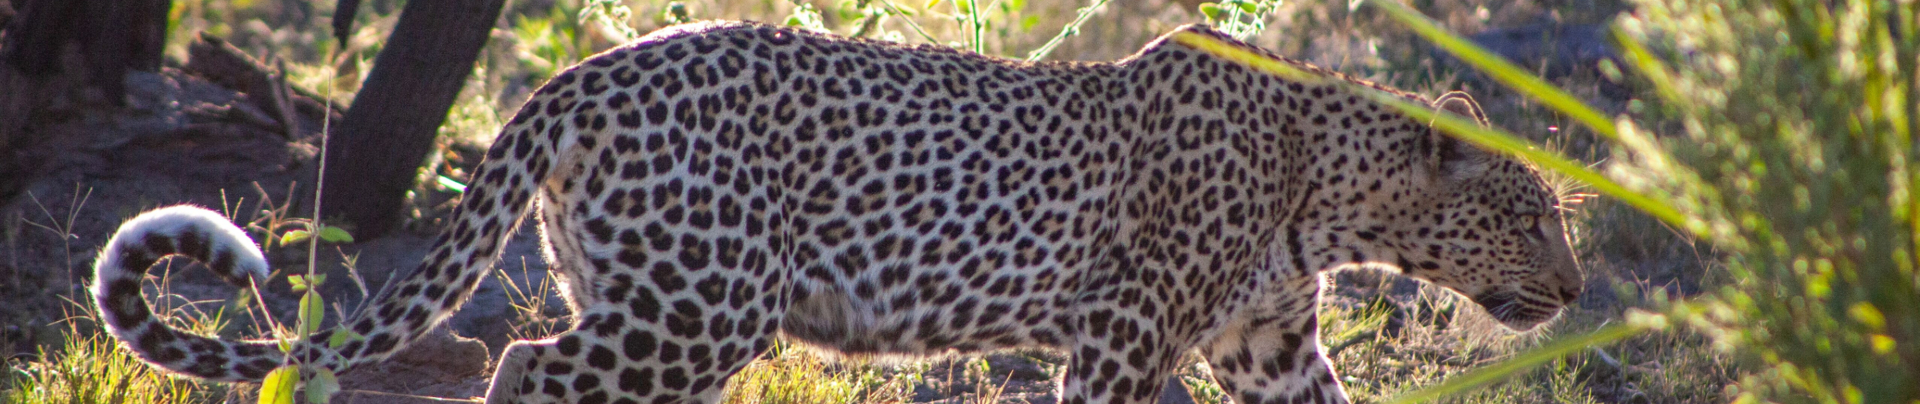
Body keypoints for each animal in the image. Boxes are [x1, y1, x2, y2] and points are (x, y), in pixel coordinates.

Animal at [89, 21, 1582, 404]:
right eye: (1527, 218)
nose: (1575, 291)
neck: (1325, 185)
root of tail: (577, 77)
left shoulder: (1268, 343)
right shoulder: (1122, 331)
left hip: (641, 291)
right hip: (697, 305)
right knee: (525, 368)